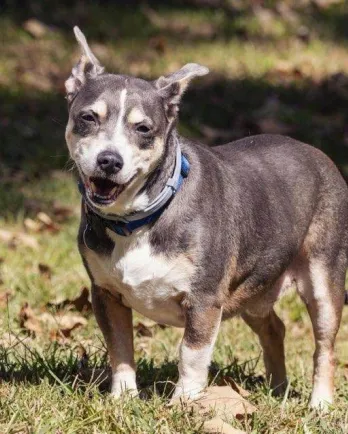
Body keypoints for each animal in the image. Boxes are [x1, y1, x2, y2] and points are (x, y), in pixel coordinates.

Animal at [64, 28, 348, 410]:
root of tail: (320, 155)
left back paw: (319, 403)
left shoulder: (204, 299)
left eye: (144, 128)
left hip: (324, 278)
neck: (140, 220)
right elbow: (120, 349)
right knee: (274, 327)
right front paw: (123, 399)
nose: (109, 160)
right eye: (88, 117)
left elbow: (191, 352)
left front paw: (184, 404)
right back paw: (277, 388)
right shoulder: (106, 294)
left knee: (325, 344)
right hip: (254, 288)